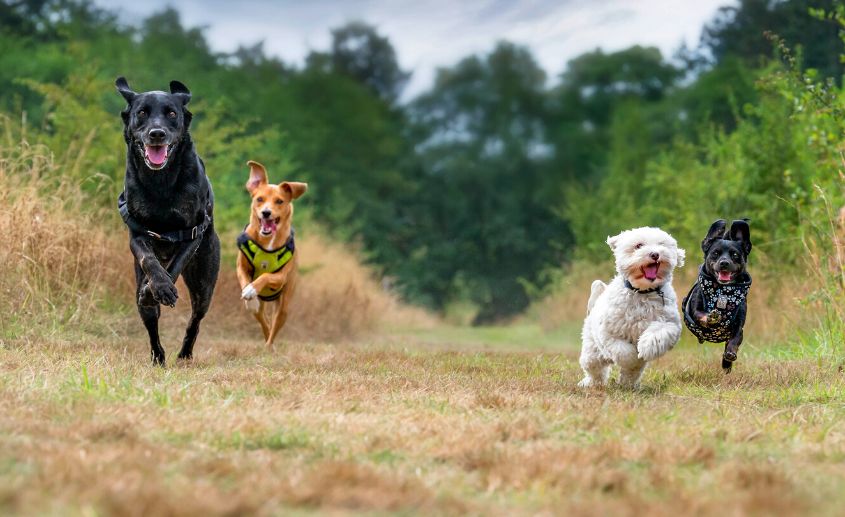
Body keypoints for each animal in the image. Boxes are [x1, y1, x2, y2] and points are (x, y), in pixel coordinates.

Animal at [115, 77, 221, 366]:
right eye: (142, 113)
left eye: (172, 114)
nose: (157, 133)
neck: (160, 182)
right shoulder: (138, 234)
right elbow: (148, 259)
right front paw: (156, 288)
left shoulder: (192, 233)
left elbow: (174, 266)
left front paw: (162, 288)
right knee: (151, 321)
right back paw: (158, 356)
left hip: (204, 284)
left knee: (195, 321)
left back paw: (184, 354)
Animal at [234, 159, 306, 348]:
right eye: (259, 199)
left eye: (279, 201)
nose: (266, 212)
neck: (267, 242)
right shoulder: (241, 266)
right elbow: (244, 278)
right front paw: (249, 293)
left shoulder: (280, 277)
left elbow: (266, 276)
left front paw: (252, 288)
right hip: (263, 310)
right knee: (264, 322)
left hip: (284, 305)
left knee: (274, 327)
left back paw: (269, 346)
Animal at [680, 218, 752, 370]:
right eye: (715, 253)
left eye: (735, 255)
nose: (724, 263)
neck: (722, 293)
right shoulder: (695, 311)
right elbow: (701, 315)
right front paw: (711, 317)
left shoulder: (739, 326)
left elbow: (735, 340)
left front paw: (729, 355)